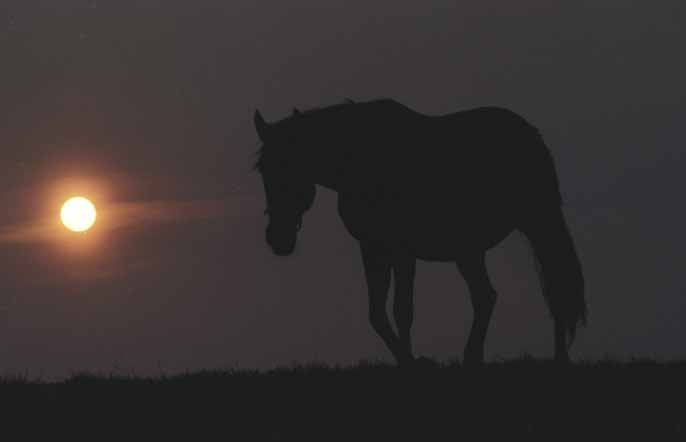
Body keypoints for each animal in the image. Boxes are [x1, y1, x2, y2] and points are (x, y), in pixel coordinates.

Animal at [253, 99, 584, 366]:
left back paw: (558, 358)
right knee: (485, 297)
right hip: (468, 250)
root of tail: (530, 132)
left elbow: (403, 309)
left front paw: (412, 362)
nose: (277, 239)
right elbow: (377, 313)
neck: (361, 162)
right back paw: (473, 358)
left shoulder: (402, 251)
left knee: (553, 281)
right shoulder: (372, 248)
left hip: (536, 223)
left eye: (288, 166)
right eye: (262, 171)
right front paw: (407, 359)